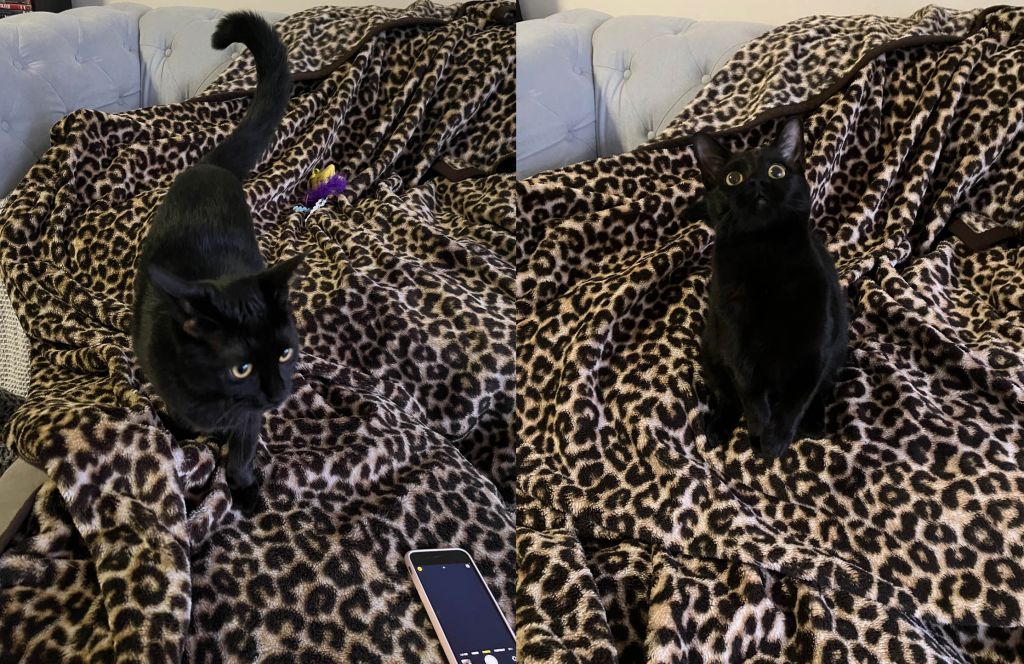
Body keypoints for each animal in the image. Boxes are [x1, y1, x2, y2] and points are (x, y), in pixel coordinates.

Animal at [132, 10, 299, 510]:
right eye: (240, 368)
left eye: (285, 352)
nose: (278, 393)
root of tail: (211, 166)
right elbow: (180, 412)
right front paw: (182, 429)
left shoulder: (249, 418)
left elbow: (242, 449)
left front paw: (242, 488)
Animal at [696, 119, 847, 459]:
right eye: (733, 178)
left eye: (776, 171)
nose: (756, 182)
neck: (764, 254)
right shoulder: (738, 350)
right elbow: (751, 400)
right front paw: (760, 438)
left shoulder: (814, 349)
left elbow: (795, 401)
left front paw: (775, 441)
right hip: (710, 352)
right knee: (727, 397)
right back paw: (717, 428)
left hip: (836, 352)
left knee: (819, 391)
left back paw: (814, 423)